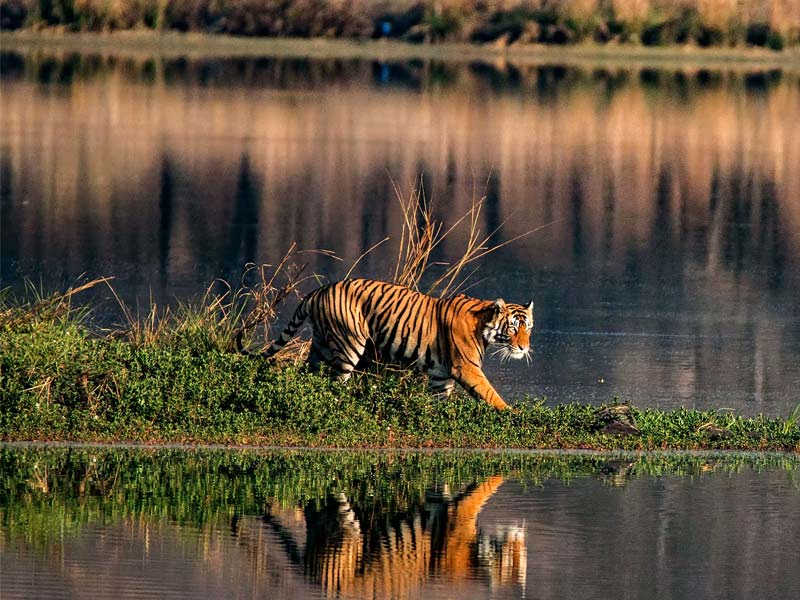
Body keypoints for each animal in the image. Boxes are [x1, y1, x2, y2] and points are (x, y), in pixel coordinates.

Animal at [241, 278, 536, 410]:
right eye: (513, 328)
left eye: (528, 328)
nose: (524, 348)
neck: (484, 325)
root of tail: (319, 291)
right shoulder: (467, 368)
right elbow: (491, 394)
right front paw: (511, 414)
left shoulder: (441, 377)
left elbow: (440, 403)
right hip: (349, 345)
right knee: (335, 383)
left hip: (321, 347)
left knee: (308, 377)